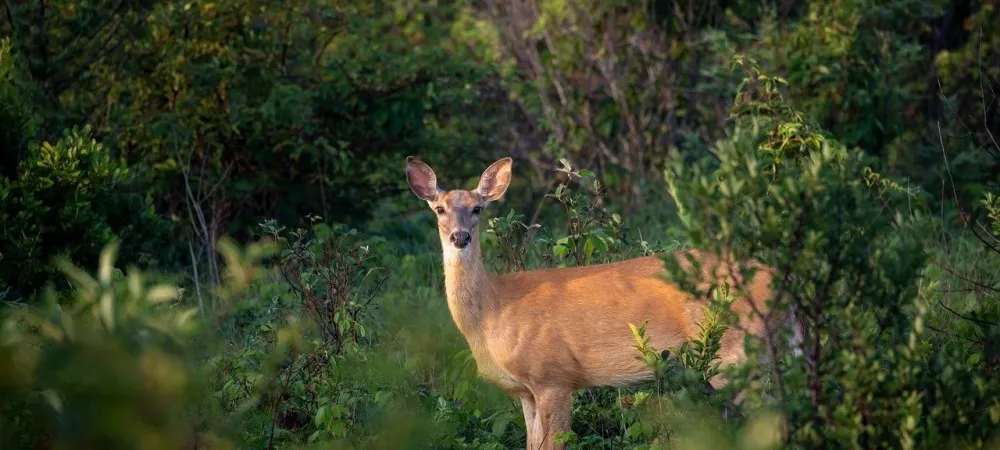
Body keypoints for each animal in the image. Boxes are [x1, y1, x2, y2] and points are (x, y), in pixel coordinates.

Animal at [404, 156, 780, 448]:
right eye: (439, 209)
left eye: (478, 209)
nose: (460, 237)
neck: (495, 311)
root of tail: (775, 278)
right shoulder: (526, 391)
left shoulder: (553, 376)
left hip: (736, 353)